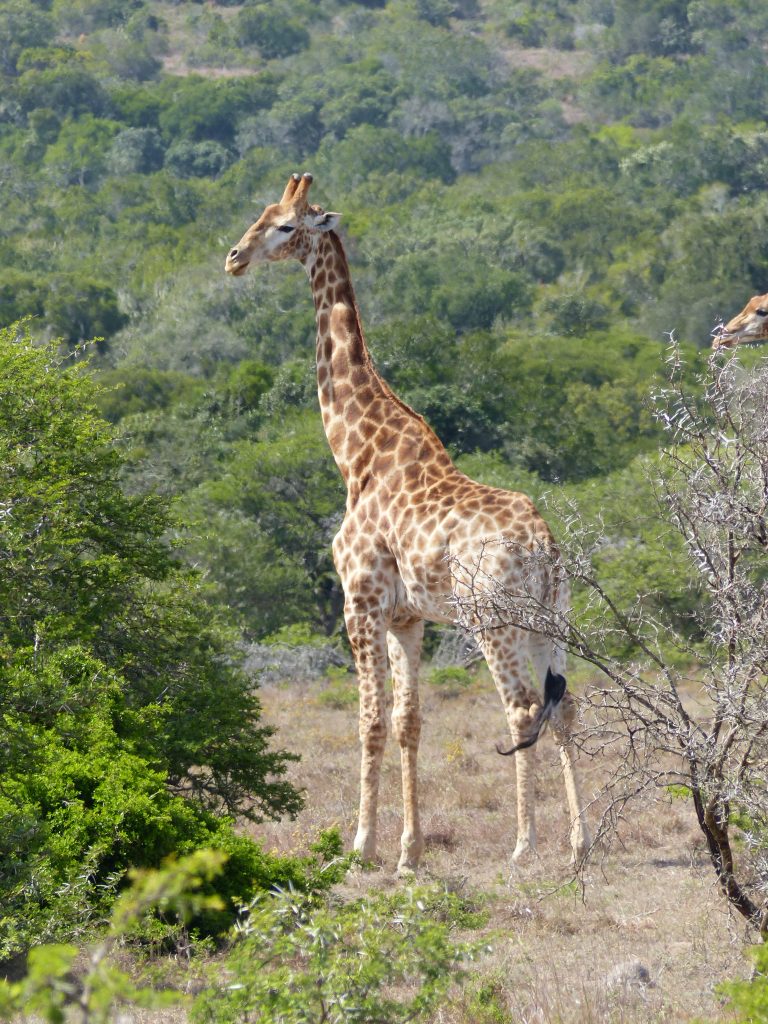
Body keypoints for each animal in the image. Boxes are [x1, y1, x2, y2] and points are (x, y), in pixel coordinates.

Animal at [225, 173, 590, 874]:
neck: (356, 453)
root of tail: (545, 547)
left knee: (521, 709)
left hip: (492, 621)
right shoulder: (407, 617)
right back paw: (581, 847)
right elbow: (408, 723)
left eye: (285, 225)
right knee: (564, 708)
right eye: (260, 213)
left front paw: (360, 847)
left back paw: (524, 845)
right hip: (549, 622)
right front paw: (408, 852)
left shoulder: (359, 600)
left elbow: (369, 720)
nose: (233, 258)